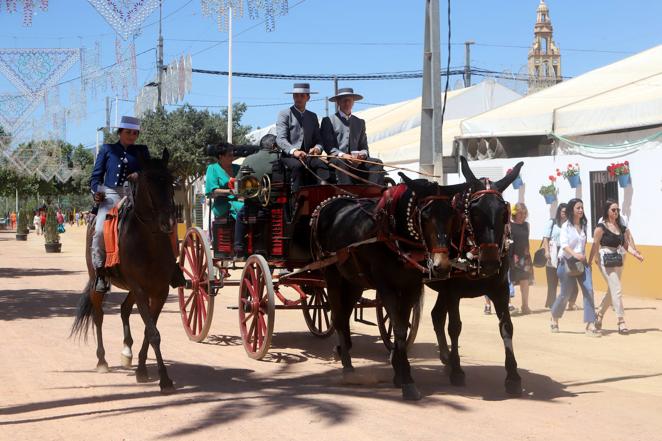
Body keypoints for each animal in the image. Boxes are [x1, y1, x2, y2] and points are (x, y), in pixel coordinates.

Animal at [72, 149, 179, 392]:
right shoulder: (140, 289)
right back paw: (102, 361)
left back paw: (127, 352)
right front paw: (164, 378)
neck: (150, 242)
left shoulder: (159, 291)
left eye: (170, 181)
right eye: (149, 181)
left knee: (123, 309)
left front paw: (142, 369)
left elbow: (150, 331)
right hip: (98, 283)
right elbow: (153, 332)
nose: (168, 222)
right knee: (99, 316)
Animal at [314, 174, 470, 398]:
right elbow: (399, 328)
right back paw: (347, 366)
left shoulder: (411, 287)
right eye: (425, 216)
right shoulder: (386, 287)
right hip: (332, 275)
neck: (394, 235)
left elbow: (402, 326)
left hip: (353, 282)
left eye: (452, 216)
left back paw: (345, 356)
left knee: (343, 315)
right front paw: (406, 380)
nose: (442, 266)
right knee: (337, 317)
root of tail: (329, 204)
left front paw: (399, 372)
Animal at [428, 156, 528, 396]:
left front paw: (513, 375)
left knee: (436, 315)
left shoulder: (500, 289)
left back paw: (445, 357)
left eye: (503, 214)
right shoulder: (452, 292)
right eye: (474, 212)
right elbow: (454, 327)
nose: (490, 260)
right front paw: (457, 371)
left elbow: (506, 327)